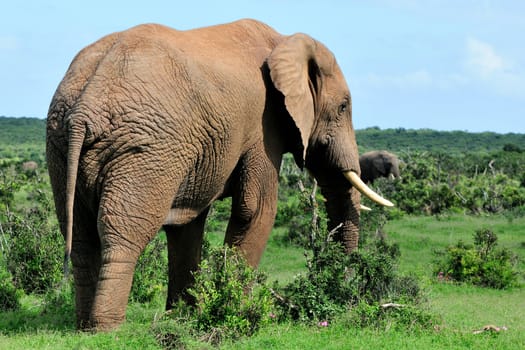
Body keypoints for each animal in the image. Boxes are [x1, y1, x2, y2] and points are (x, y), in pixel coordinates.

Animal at [46, 18, 392, 330]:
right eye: (344, 107)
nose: (343, 293)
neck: (283, 40)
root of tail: (85, 108)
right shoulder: (263, 126)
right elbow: (256, 210)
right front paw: (237, 311)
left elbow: (186, 224)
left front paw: (182, 317)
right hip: (142, 150)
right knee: (122, 233)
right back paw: (106, 328)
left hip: (62, 146)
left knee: (80, 236)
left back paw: (83, 325)